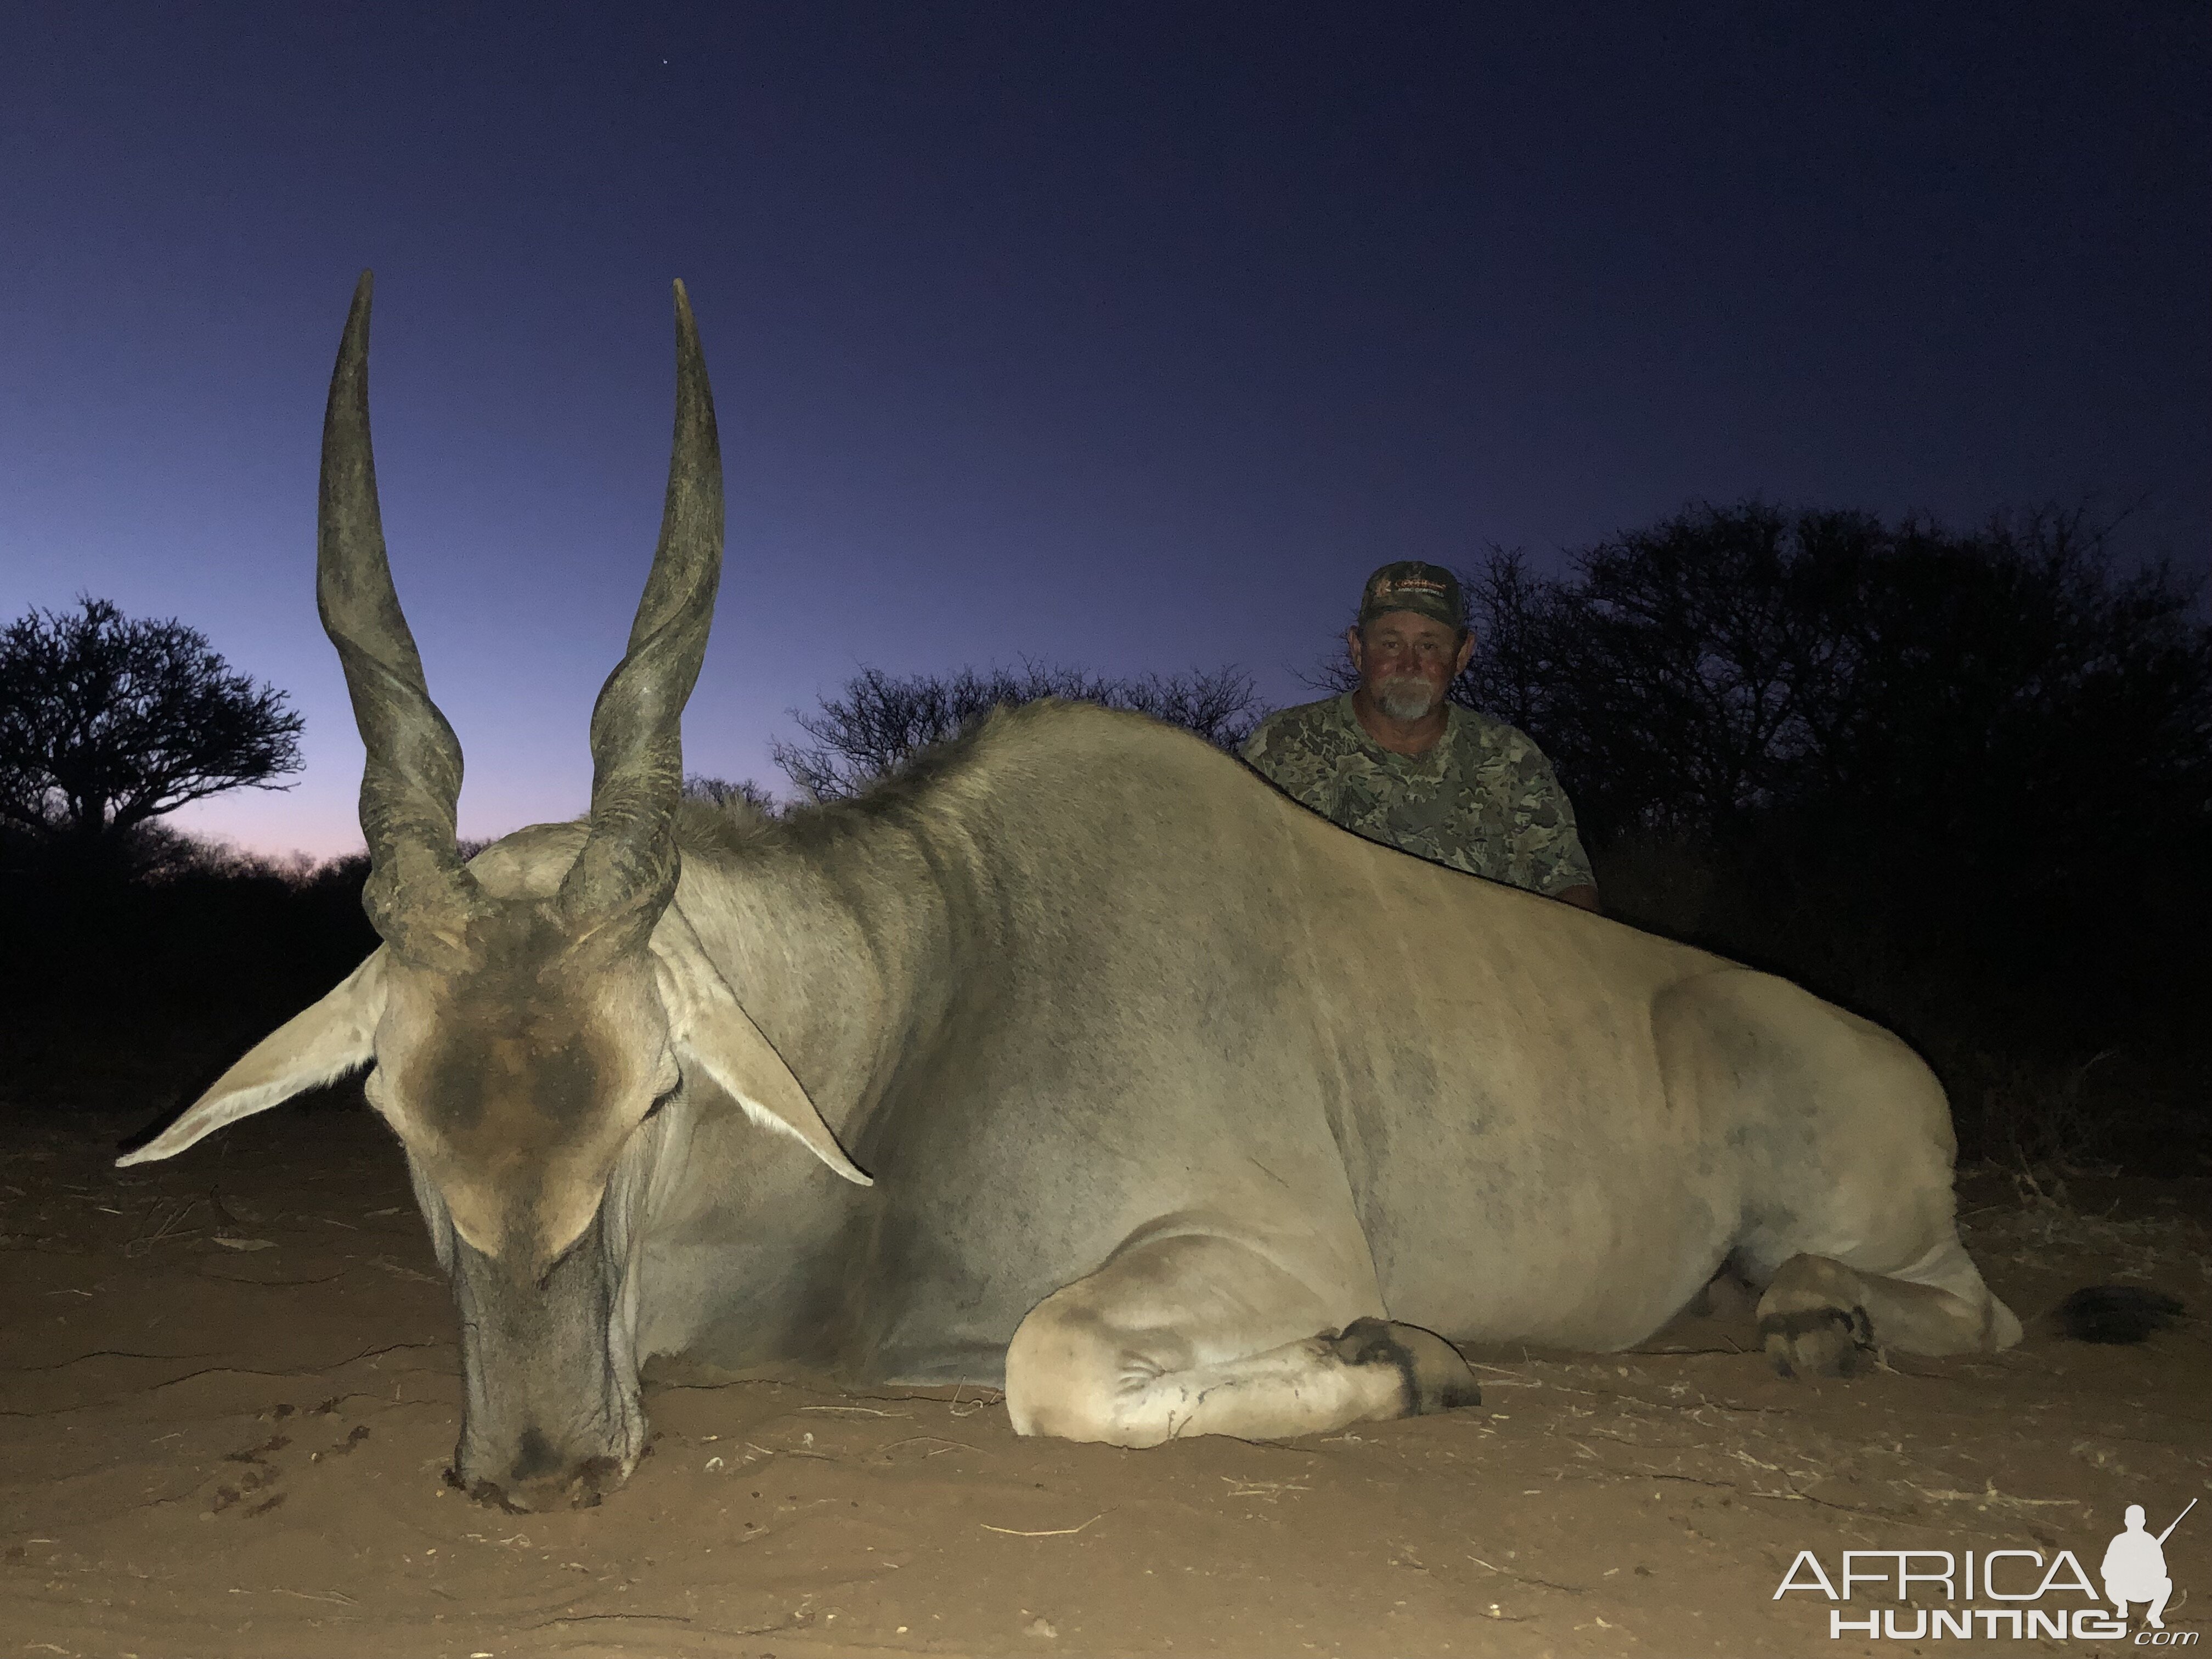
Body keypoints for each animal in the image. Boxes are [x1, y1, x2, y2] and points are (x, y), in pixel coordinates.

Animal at [116, 280, 2026, 1513]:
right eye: (393, 1115)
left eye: (656, 1098)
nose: (534, 1474)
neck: (935, 981)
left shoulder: (1268, 1251)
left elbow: (1053, 1369)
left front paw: (1415, 1360)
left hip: (1877, 1215)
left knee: (1971, 1312)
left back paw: (1816, 1319)